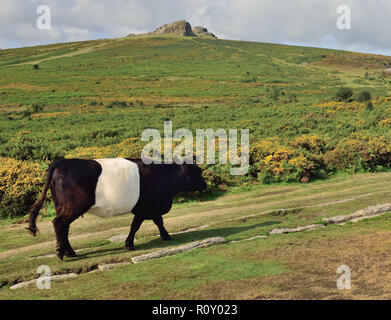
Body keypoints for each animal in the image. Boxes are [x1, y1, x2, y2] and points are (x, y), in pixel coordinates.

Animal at [28, 158, 207, 260]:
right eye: (197, 171)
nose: (205, 184)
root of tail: (61, 161)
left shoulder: (151, 207)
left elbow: (158, 221)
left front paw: (166, 236)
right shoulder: (146, 207)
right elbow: (136, 225)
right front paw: (129, 244)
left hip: (63, 206)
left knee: (64, 227)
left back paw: (70, 252)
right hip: (74, 205)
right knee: (59, 223)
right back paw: (61, 252)